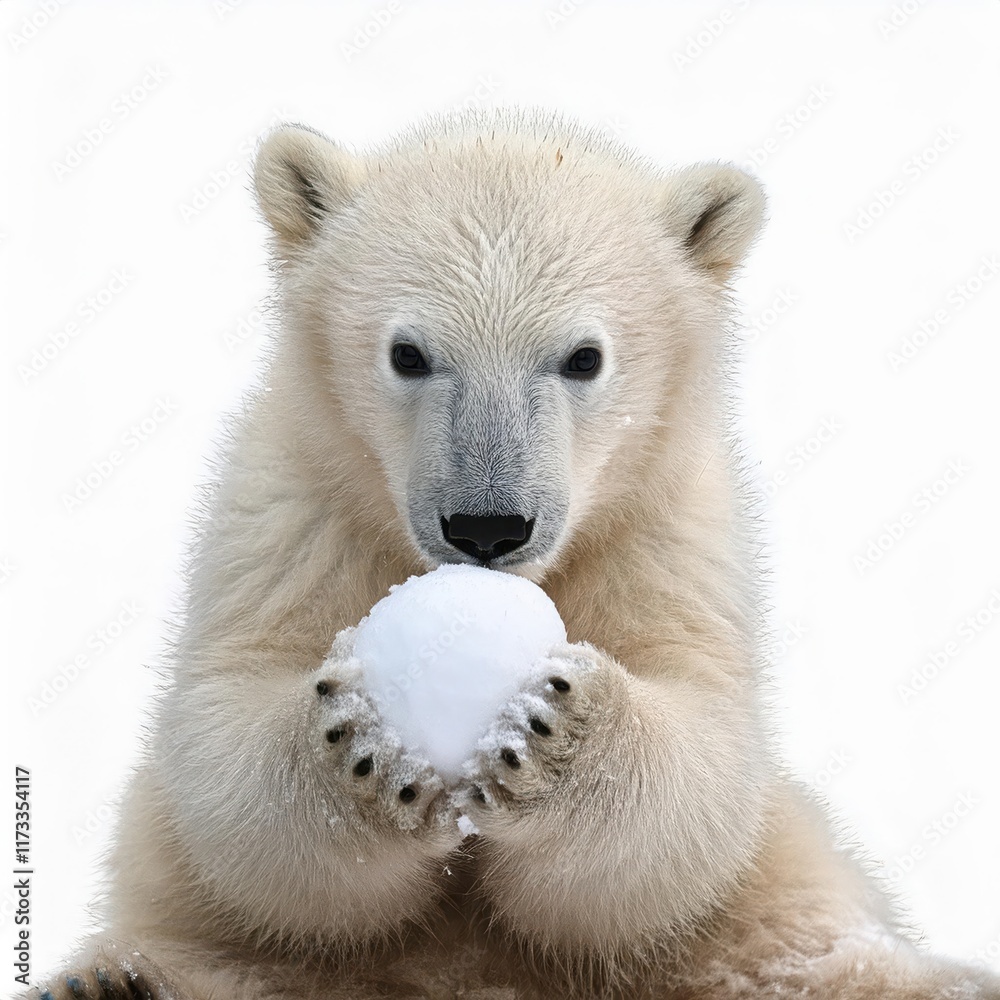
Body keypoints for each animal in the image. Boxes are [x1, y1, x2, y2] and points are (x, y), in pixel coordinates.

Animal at [32, 110, 1000, 1000]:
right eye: (408, 352)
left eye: (583, 357)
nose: (487, 527)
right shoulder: (293, 508)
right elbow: (225, 746)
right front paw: (364, 743)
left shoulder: (667, 529)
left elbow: (698, 767)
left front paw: (555, 725)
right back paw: (115, 980)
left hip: (760, 888)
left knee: (790, 933)